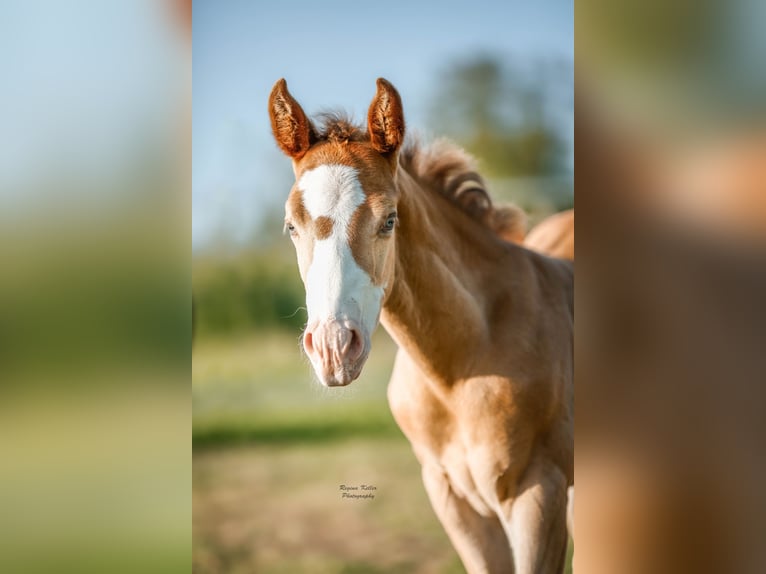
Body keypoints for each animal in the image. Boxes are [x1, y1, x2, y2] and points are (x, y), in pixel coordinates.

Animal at [268, 77, 572, 574]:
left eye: (389, 220)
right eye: (291, 226)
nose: (334, 348)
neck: (461, 367)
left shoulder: (540, 493)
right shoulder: (451, 498)